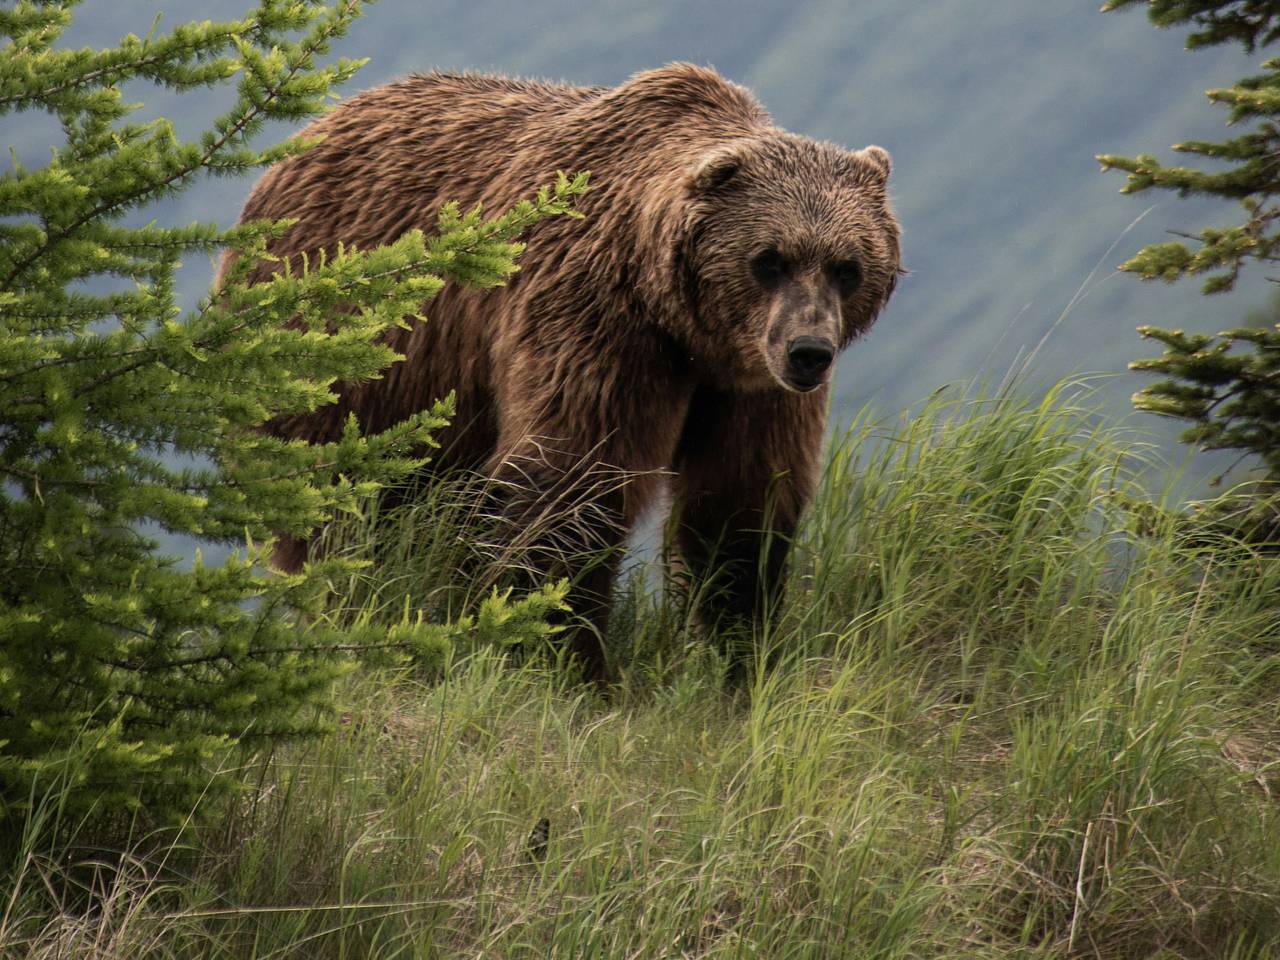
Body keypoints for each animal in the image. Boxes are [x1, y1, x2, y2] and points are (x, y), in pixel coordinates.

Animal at [222, 62, 901, 686]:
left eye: (847, 266)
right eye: (770, 259)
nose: (809, 351)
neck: (681, 322)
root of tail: (308, 134)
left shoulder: (748, 385)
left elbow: (741, 501)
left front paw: (735, 649)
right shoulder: (594, 320)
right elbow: (571, 481)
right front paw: (561, 657)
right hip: (347, 357)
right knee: (344, 507)